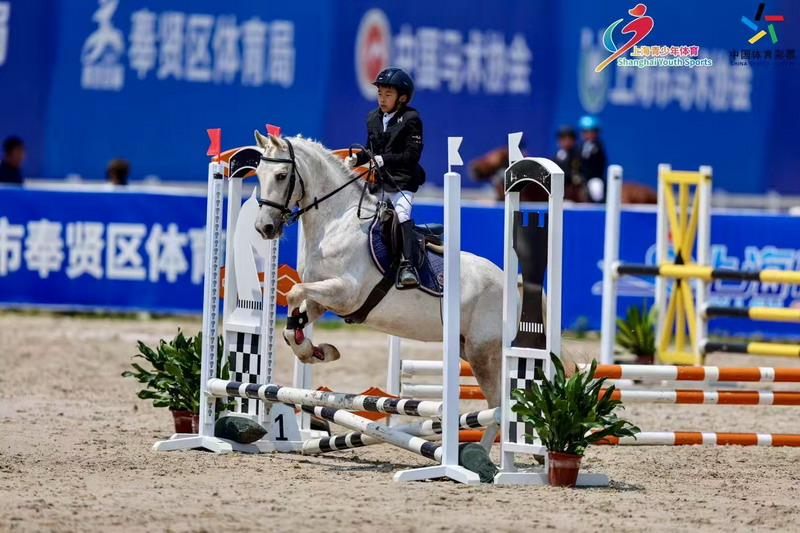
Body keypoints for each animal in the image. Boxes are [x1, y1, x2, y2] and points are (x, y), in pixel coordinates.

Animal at [252, 131, 505, 446]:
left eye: (282, 175)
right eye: (258, 175)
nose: (264, 228)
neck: (336, 222)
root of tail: (510, 281)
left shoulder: (345, 293)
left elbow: (294, 292)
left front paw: (316, 349)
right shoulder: (322, 298)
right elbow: (293, 322)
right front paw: (316, 351)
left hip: (481, 351)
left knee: (498, 408)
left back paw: (480, 455)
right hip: (465, 348)